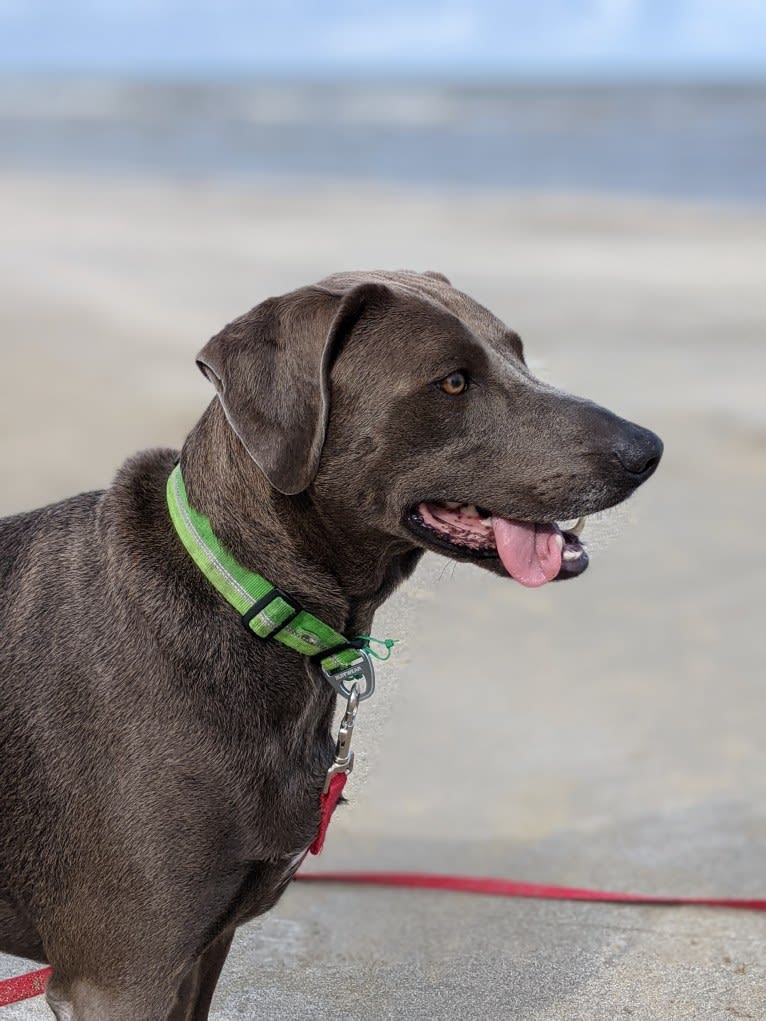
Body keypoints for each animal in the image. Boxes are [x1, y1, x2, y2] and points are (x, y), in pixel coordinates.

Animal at [0, 267, 661, 1016]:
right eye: (453, 382)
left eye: (518, 353)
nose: (648, 449)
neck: (246, 600)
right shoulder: (119, 976)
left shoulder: (202, 950)